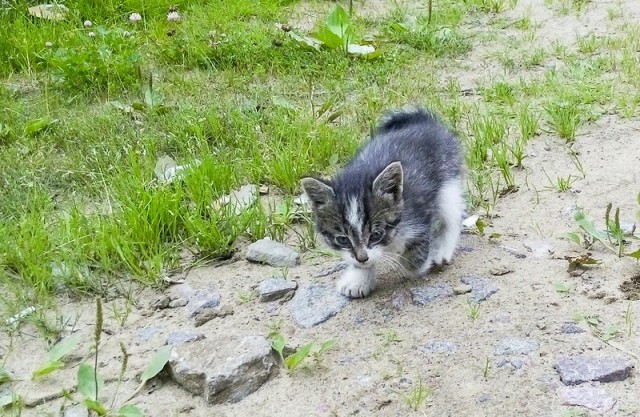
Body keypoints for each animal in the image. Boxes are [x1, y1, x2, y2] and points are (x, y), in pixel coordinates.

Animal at [300, 107, 464, 296]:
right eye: (343, 240)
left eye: (376, 234)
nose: (362, 258)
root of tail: (424, 121)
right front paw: (359, 278)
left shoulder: (420, 212)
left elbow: (413, 260)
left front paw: (420, 261)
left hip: (448, 181)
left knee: (451, 217)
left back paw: (442, 249)